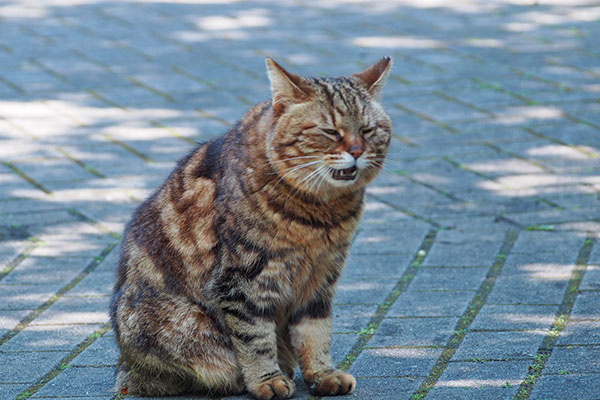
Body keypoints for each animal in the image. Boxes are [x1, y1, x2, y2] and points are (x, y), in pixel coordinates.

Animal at [109, 57, 394, 400]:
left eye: (367, 130)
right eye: (329, 131)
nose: (356, 151)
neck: (320, 214)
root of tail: (125, 367)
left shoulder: (322, 277)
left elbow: (316, 332)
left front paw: (322, 373)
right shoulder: (242, 281)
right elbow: (255, 338)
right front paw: (266, 380)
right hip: (182, 326)